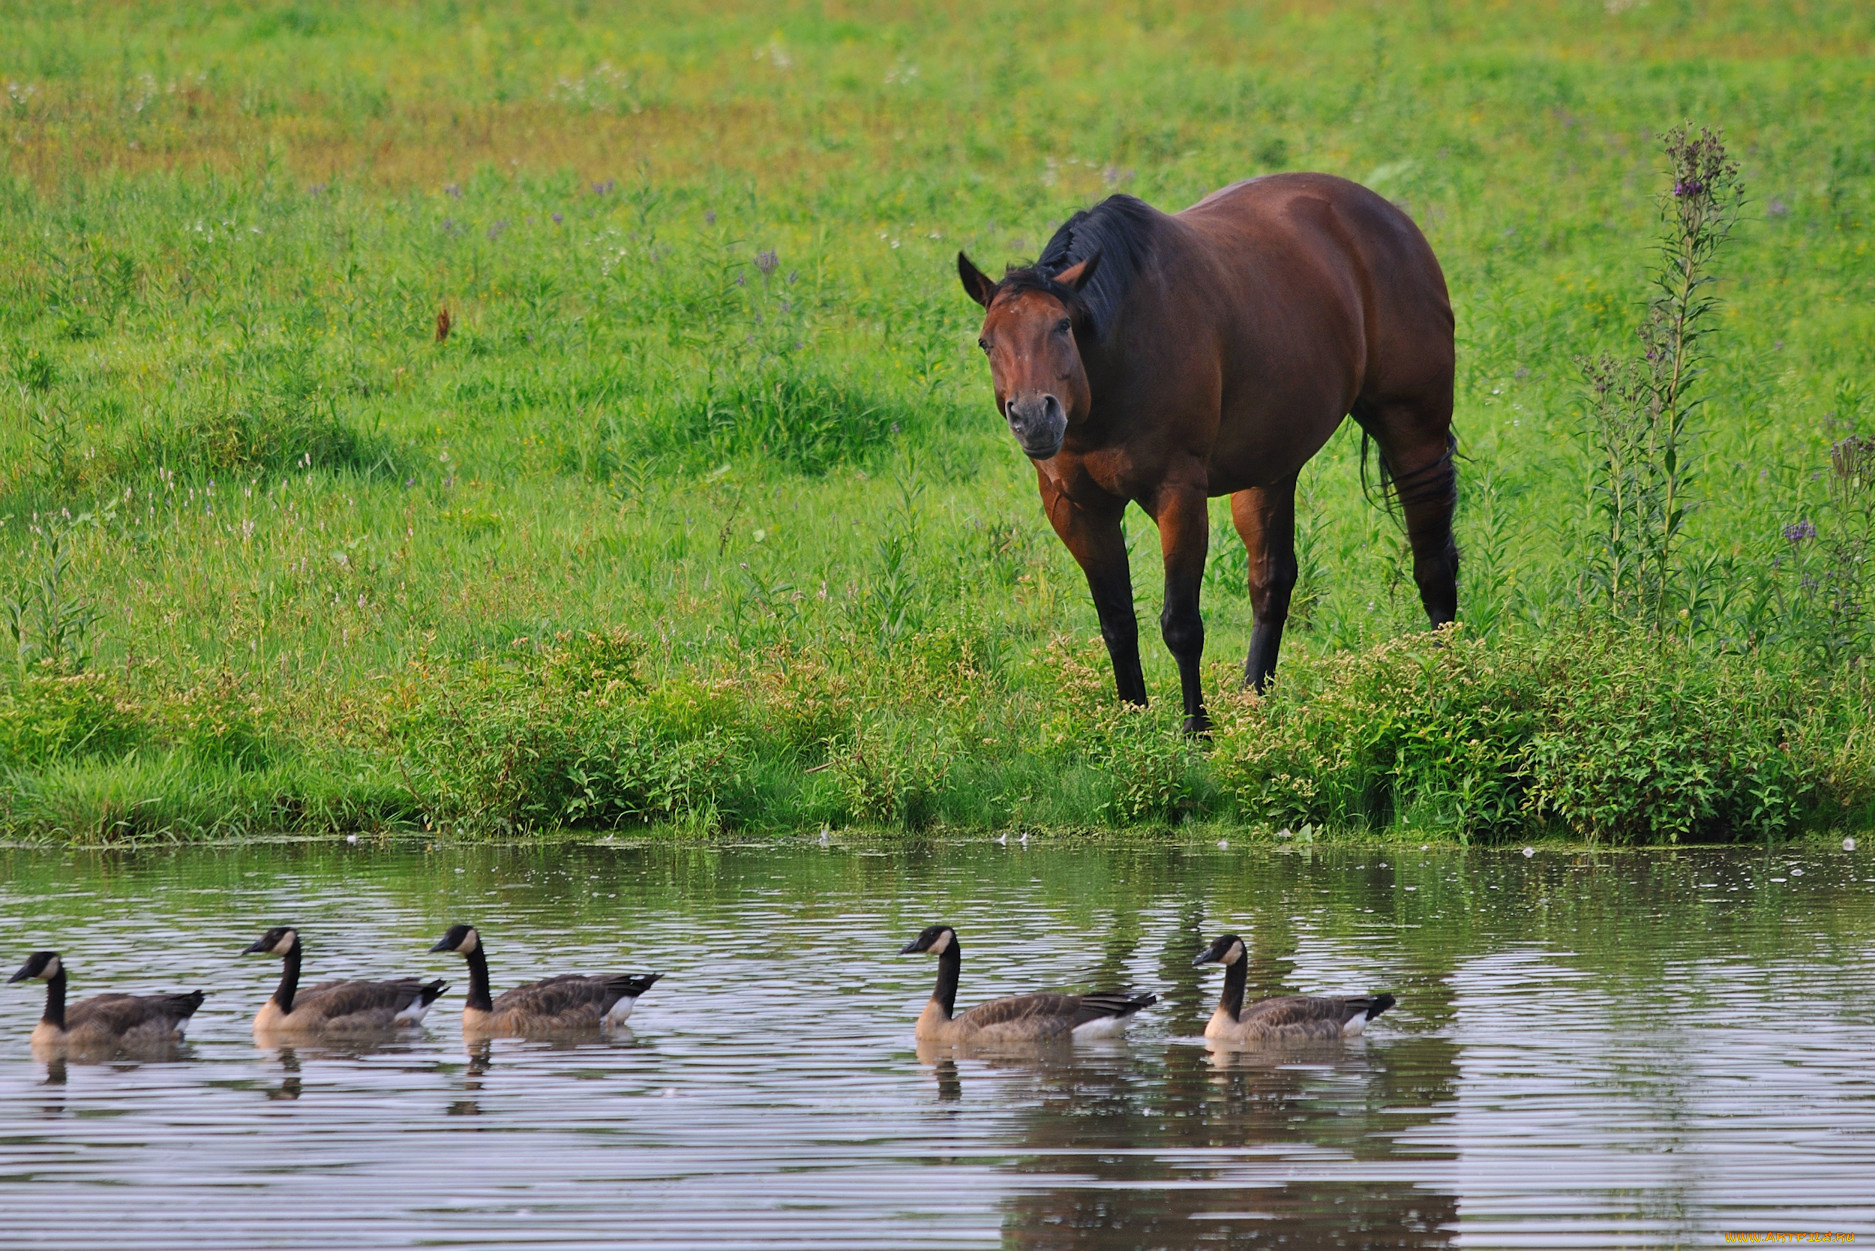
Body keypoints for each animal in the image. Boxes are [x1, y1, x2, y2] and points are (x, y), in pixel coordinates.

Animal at [960, 171, 1455, 727]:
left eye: (1063, 326)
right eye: (986, 342)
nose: (1034, 418)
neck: (1117, 358)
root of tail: (1391, 218)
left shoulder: (1179, 495)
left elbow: (1180, 625)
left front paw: (1197, 731)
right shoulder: (1076, 507)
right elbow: (1116, 622)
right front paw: (1131, 726)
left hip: (1414, 431)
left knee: (1434, 562)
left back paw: (1447, 679)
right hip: (1270, 466)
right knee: (1271, 580)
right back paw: (1254, 702)